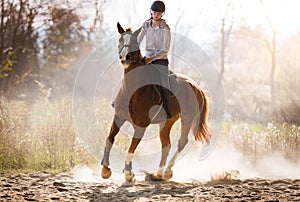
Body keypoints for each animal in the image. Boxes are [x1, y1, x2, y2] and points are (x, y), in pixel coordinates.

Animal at [101, 22, 211, 183]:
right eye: (120, 40)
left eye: (135, 43)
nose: (125, 57)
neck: (133, 89)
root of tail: (197, 88)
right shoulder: (119, 117)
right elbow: (110, 139)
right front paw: (105, 169)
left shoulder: (140, 126)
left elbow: (131, 148)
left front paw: (129, 174)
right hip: (167, 122)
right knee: (166, 145)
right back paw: (157, 174)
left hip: (187, 118)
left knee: (181, 143)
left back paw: (166, 172)